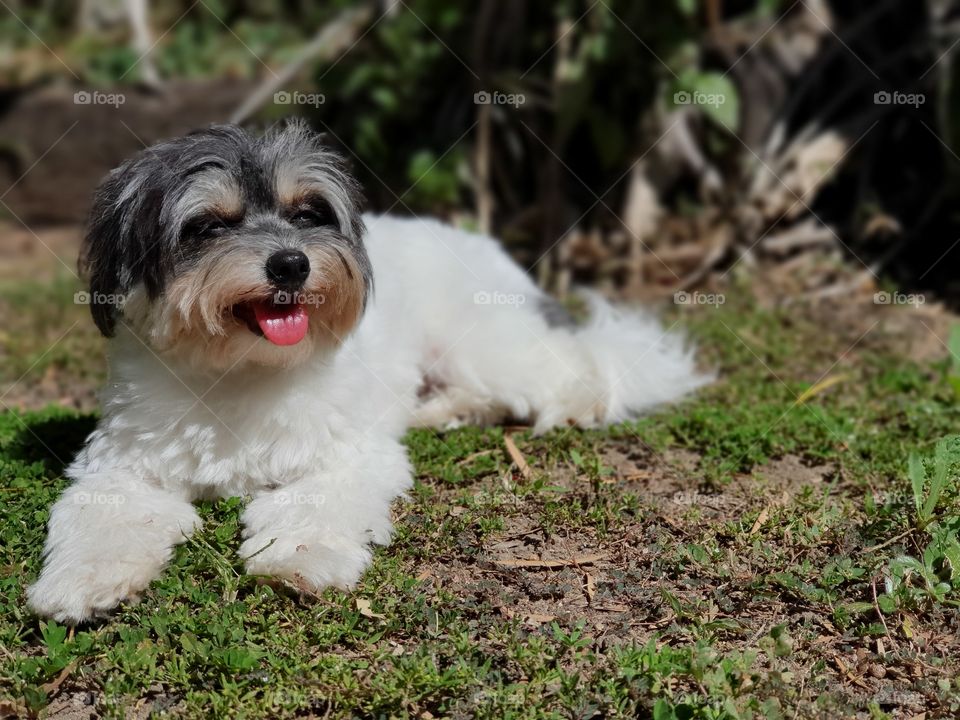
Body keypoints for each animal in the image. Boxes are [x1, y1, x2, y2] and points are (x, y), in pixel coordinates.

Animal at [26, 121, 708, 620]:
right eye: (207, 225)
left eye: (307, 213)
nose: (291, 263)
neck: (240, 367)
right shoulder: (121, 466)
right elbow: (105, 516)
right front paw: (83, 580)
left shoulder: (348, 455)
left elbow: (314, 505)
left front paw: (299, 561)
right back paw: (441, 409)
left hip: (485, 341)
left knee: (575, 371)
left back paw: (572, 403)